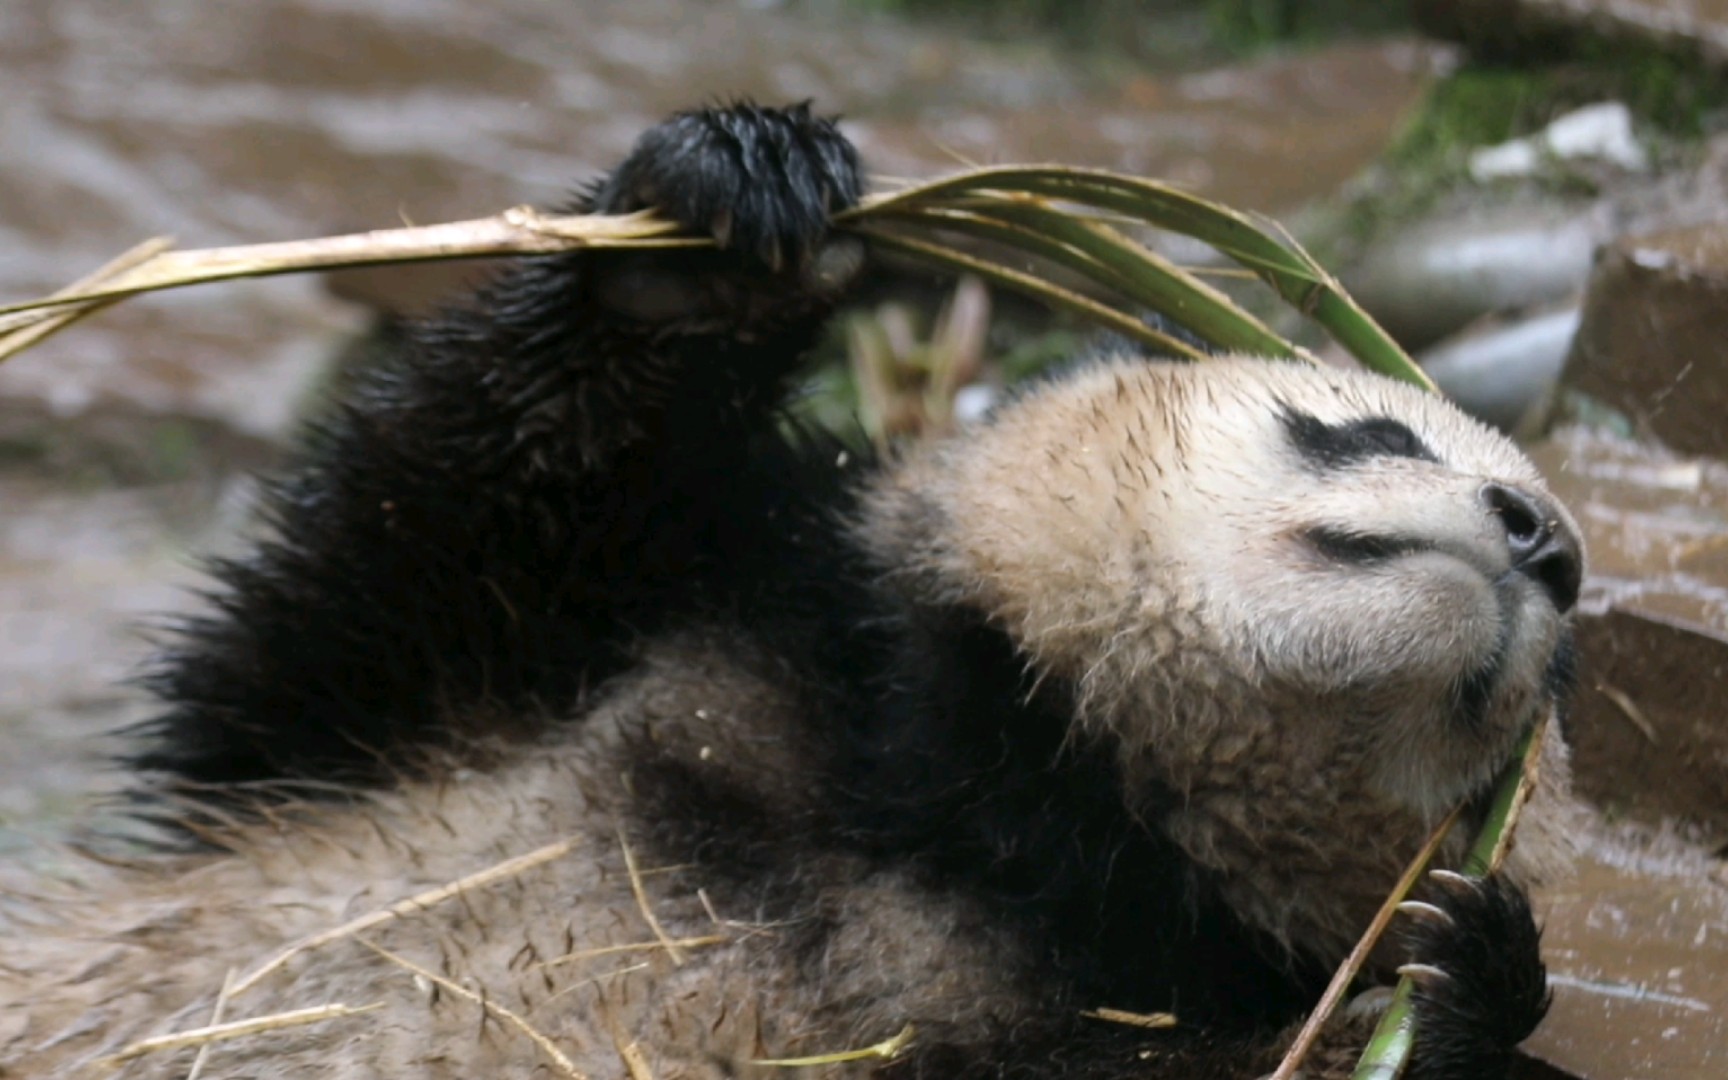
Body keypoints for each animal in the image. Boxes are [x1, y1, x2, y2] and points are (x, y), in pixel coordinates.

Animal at [0, 101, 1582, 1078]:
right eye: (1361, 430)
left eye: (1558, 673)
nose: (1543, 540)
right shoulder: (579, 652)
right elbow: (402, 548)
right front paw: (724, 212)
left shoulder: (1107, 974)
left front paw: (1451, 987)